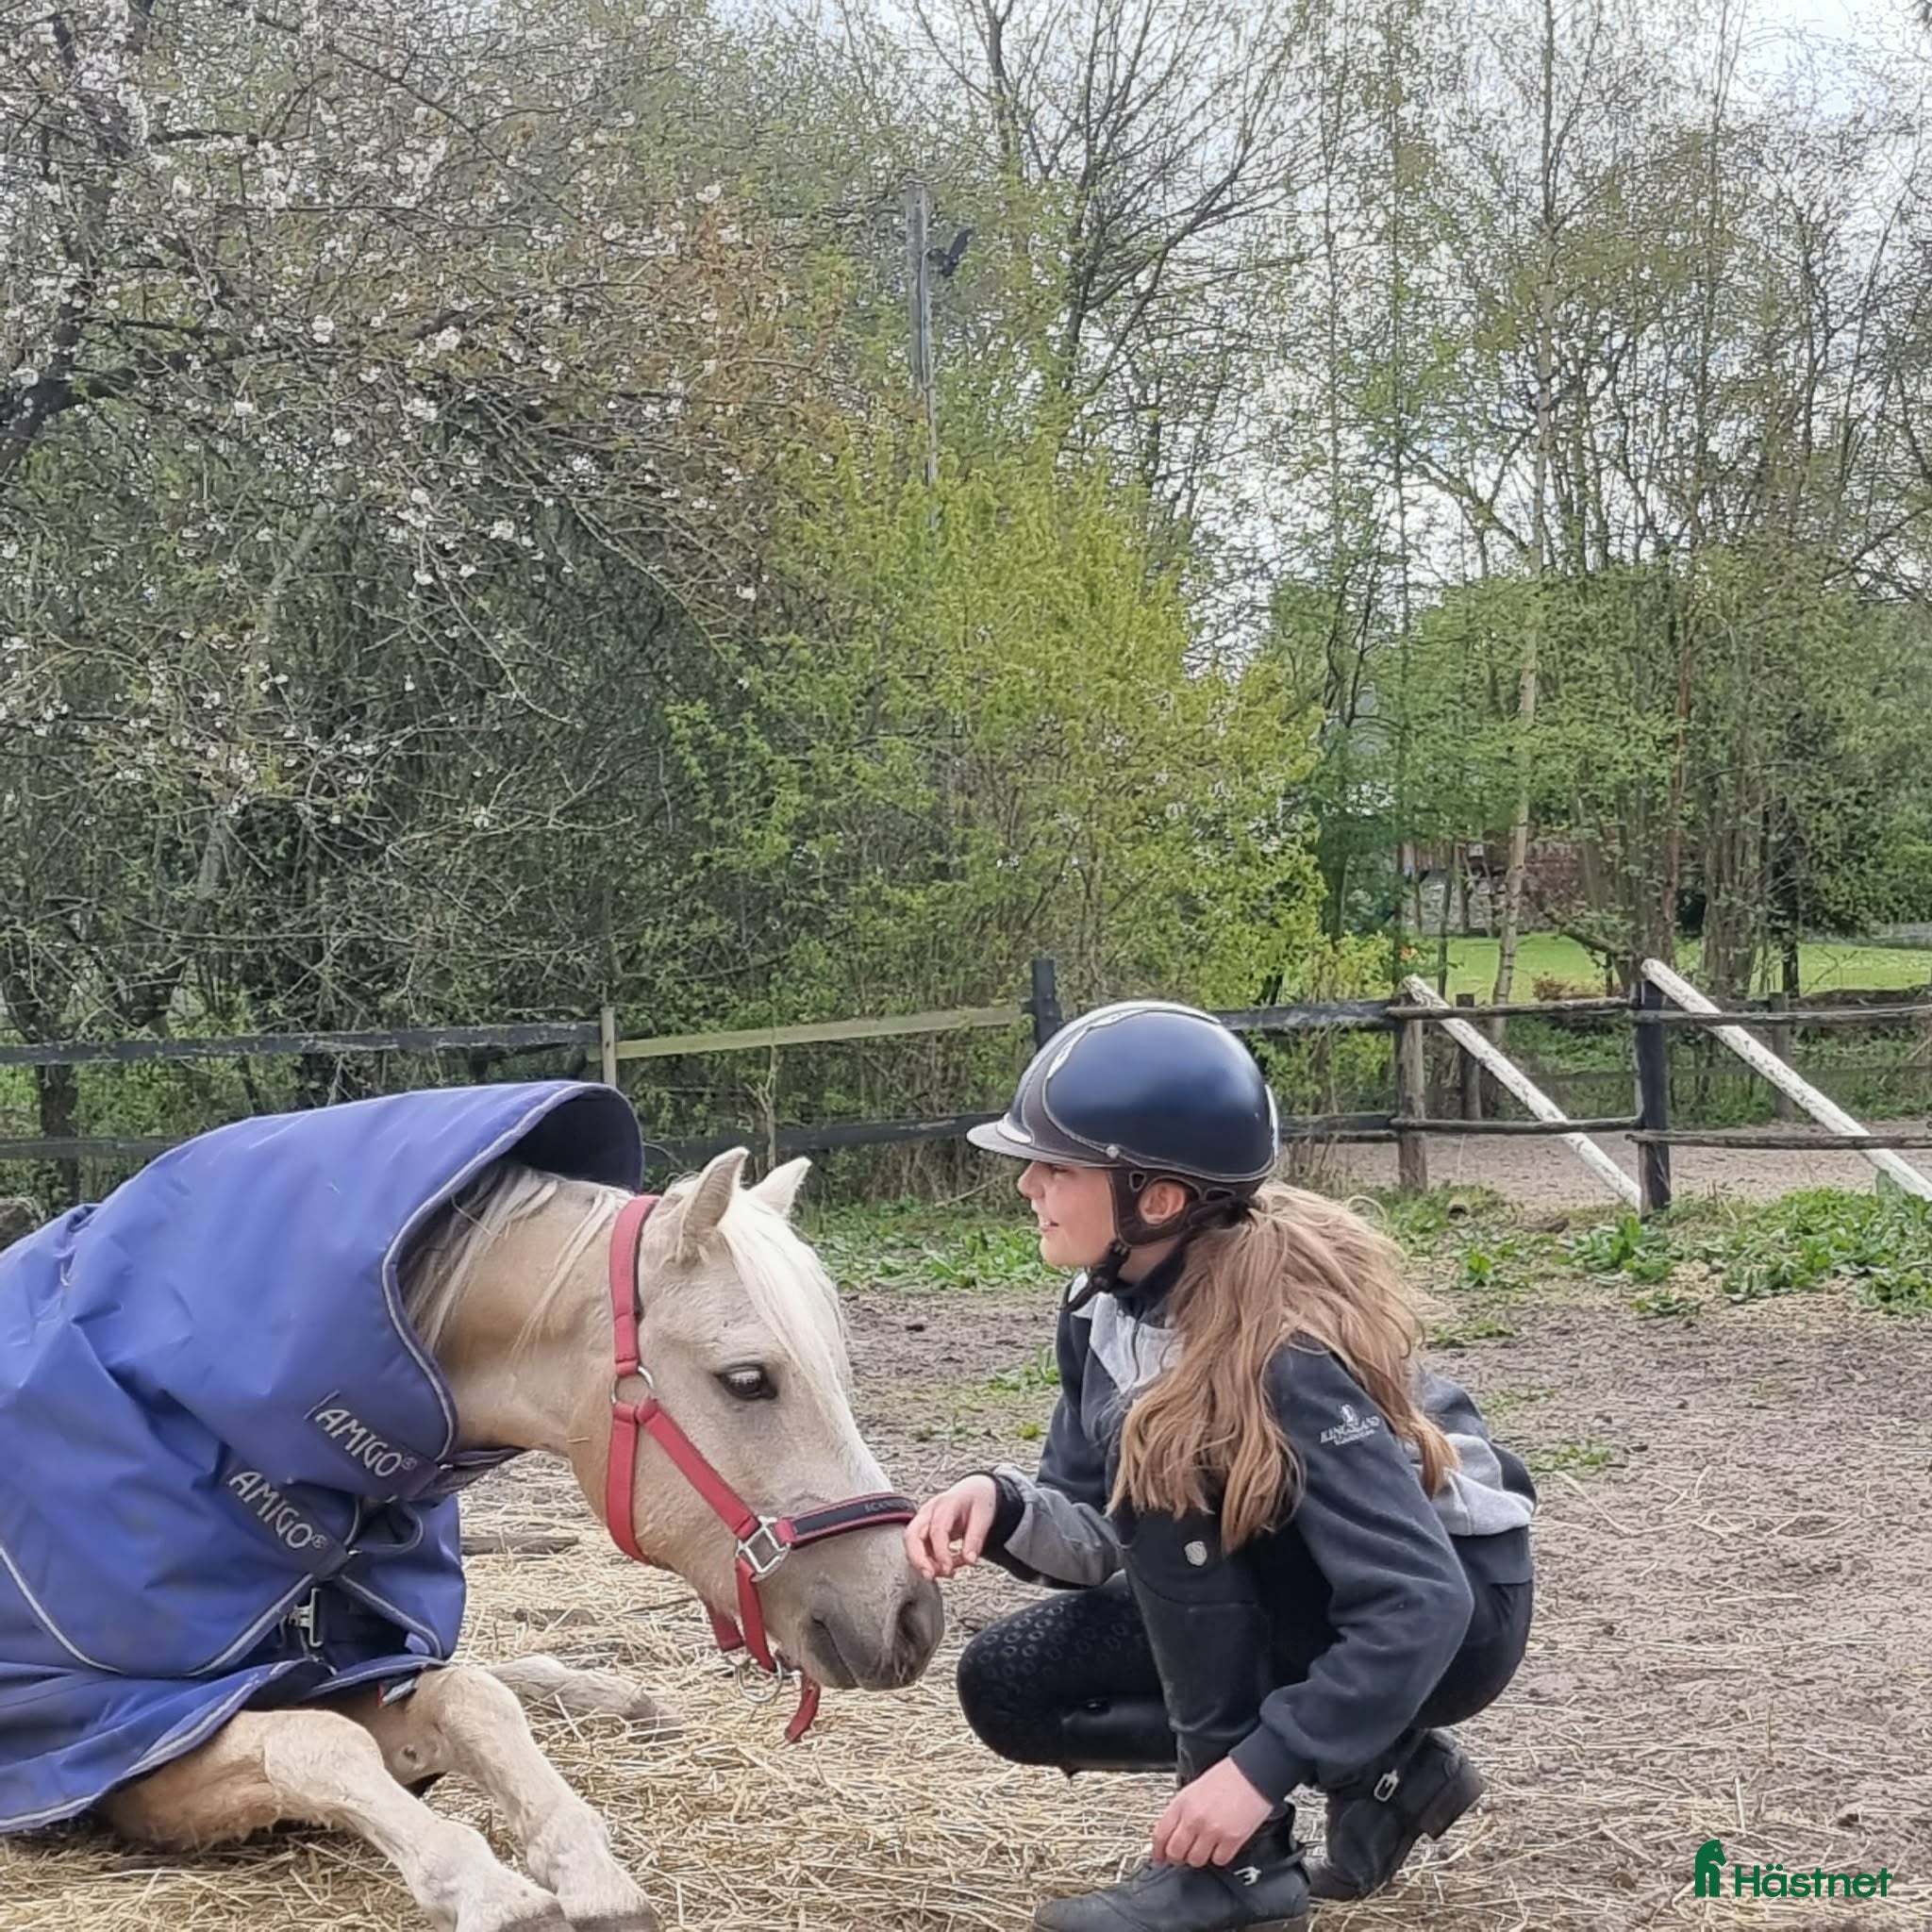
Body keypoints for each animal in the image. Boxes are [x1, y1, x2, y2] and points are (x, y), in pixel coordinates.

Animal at [0, 1082, 943, 1932]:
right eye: (747, 1379)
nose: (911, 1616)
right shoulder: (110, 1740)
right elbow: (315, 1739)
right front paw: (497, 1894)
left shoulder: (366, 1670)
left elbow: (469, 1695)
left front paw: (591, 1875)